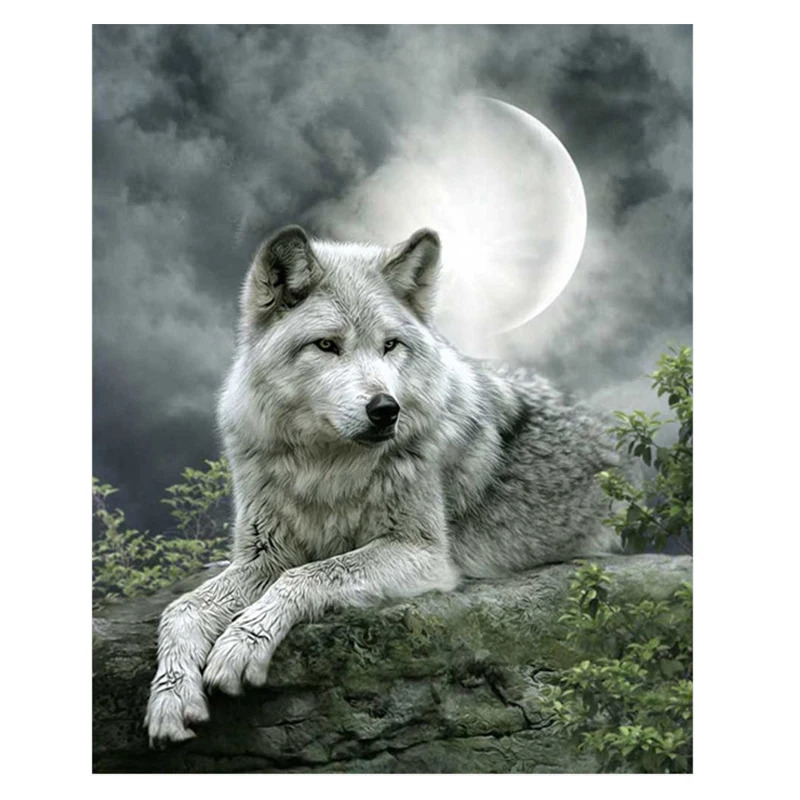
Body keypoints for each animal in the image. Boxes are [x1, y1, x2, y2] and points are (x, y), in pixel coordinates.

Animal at [145, 225, 620, 745]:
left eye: (390, 345)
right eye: (327, 345)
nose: (386, 409)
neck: (325, 468)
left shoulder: (422, 553)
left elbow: (309, 575)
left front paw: (240, 643)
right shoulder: (263, 555)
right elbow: (181, 608)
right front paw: (171, 698)